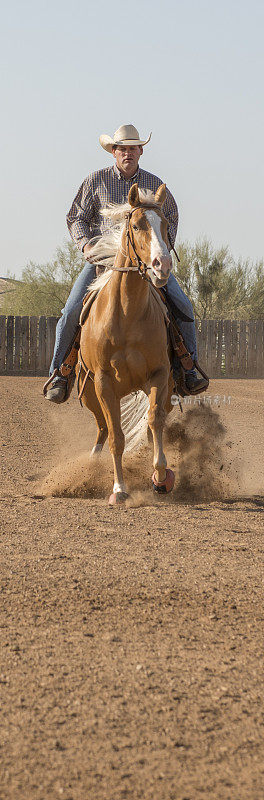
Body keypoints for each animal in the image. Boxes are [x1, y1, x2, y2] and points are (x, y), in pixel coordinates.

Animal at [77, 184, 176, 504]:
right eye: (136, 226)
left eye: (166, 225)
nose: (162, 265)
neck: (127, 314)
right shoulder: (104, 382)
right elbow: (117, 437)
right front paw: (119, 489)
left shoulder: (159, 375)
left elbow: (154, 421)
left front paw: (160, 475)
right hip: (90, 395)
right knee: (103, 429)